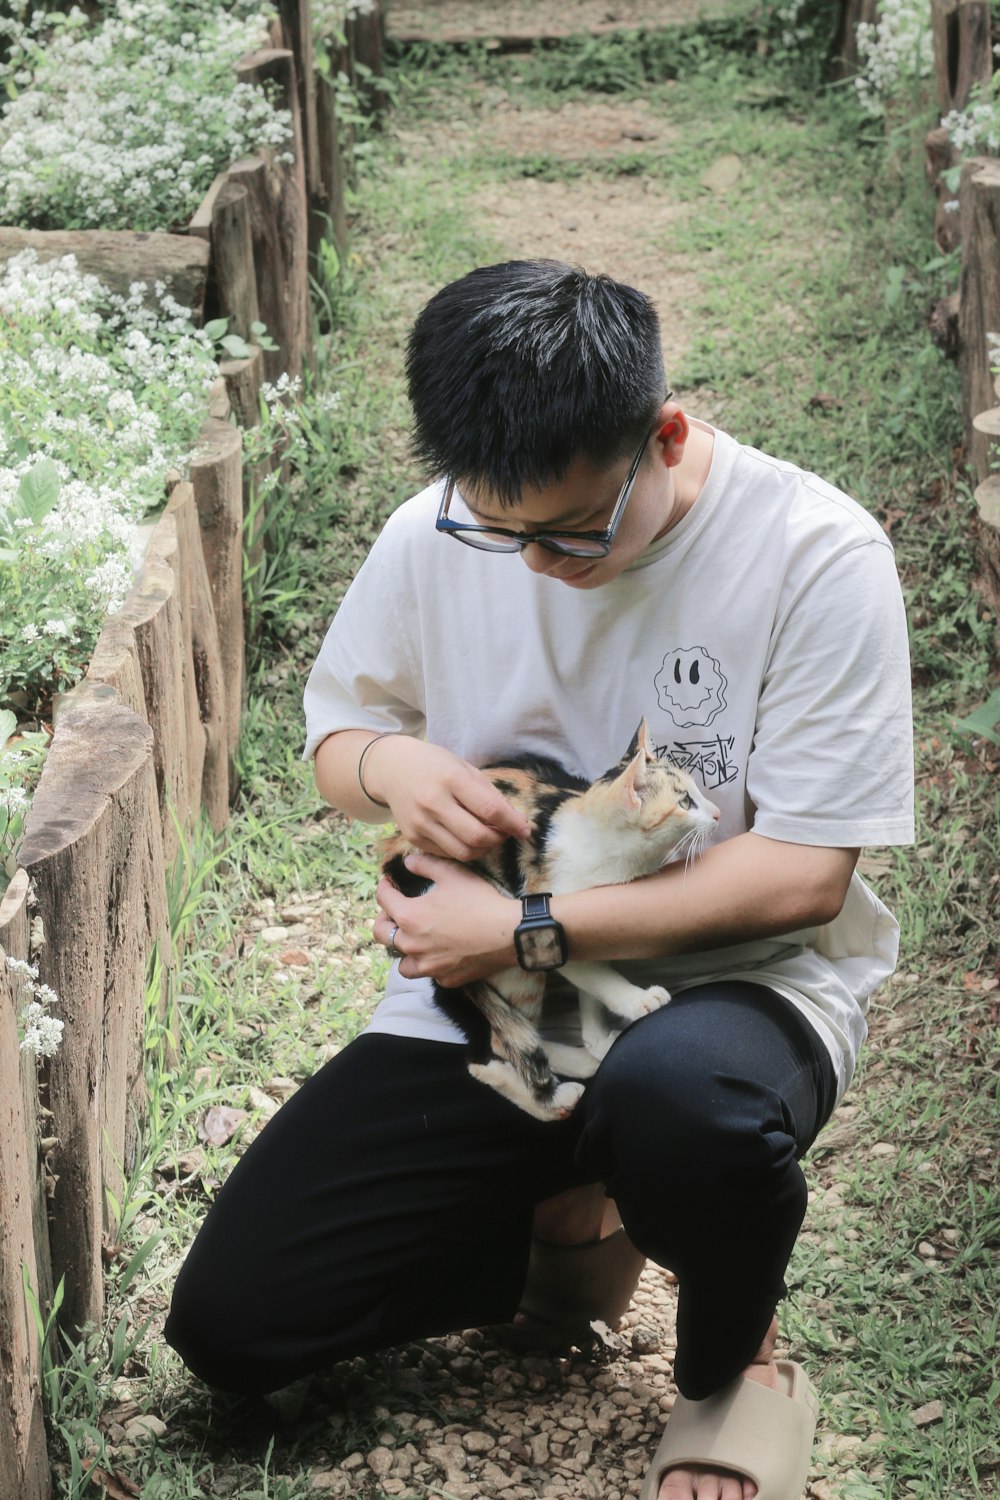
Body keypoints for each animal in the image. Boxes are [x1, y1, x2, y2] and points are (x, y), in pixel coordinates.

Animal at [380, 720, 719, 1122]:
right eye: (685, 802)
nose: (716, 813)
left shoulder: (599, 930)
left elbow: (593, 986)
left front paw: (597, 1039)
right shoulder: (551, 928)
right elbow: (594, 974)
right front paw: (638, 1001)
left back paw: (582, 1060)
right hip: (507, 958)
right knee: (489, 1052)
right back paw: (556, 1099)